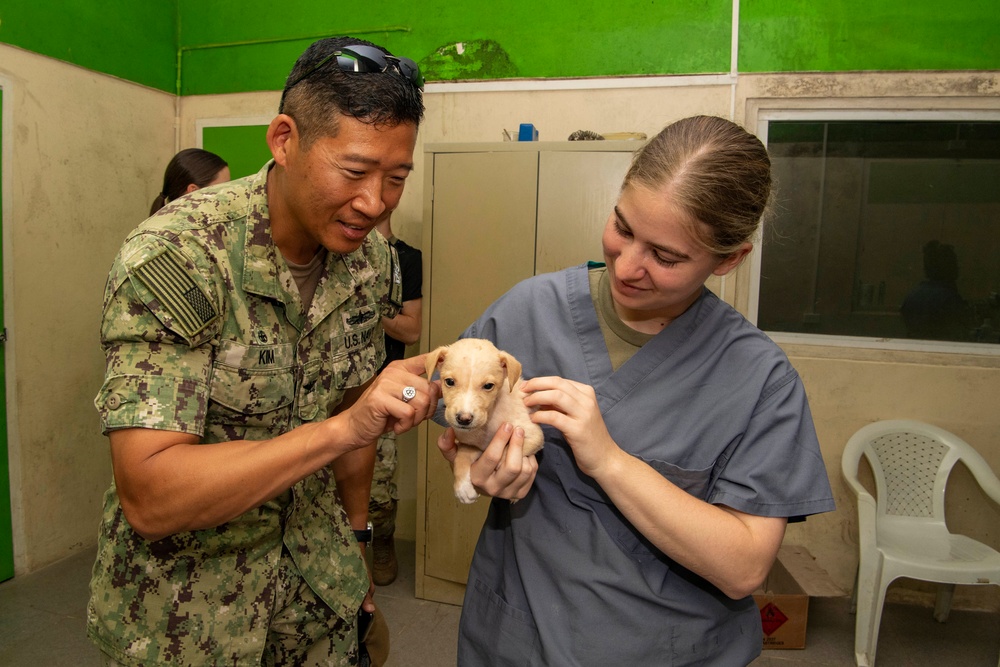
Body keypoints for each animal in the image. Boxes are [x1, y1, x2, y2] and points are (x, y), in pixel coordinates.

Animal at [424, 342, 544, 504]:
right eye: (449, 382)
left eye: (488, 386)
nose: (464, 419)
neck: (489, 421)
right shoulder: (472, 445)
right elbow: (461, 458)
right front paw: (462, 488)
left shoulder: (533, 435)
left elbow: (504, 455)